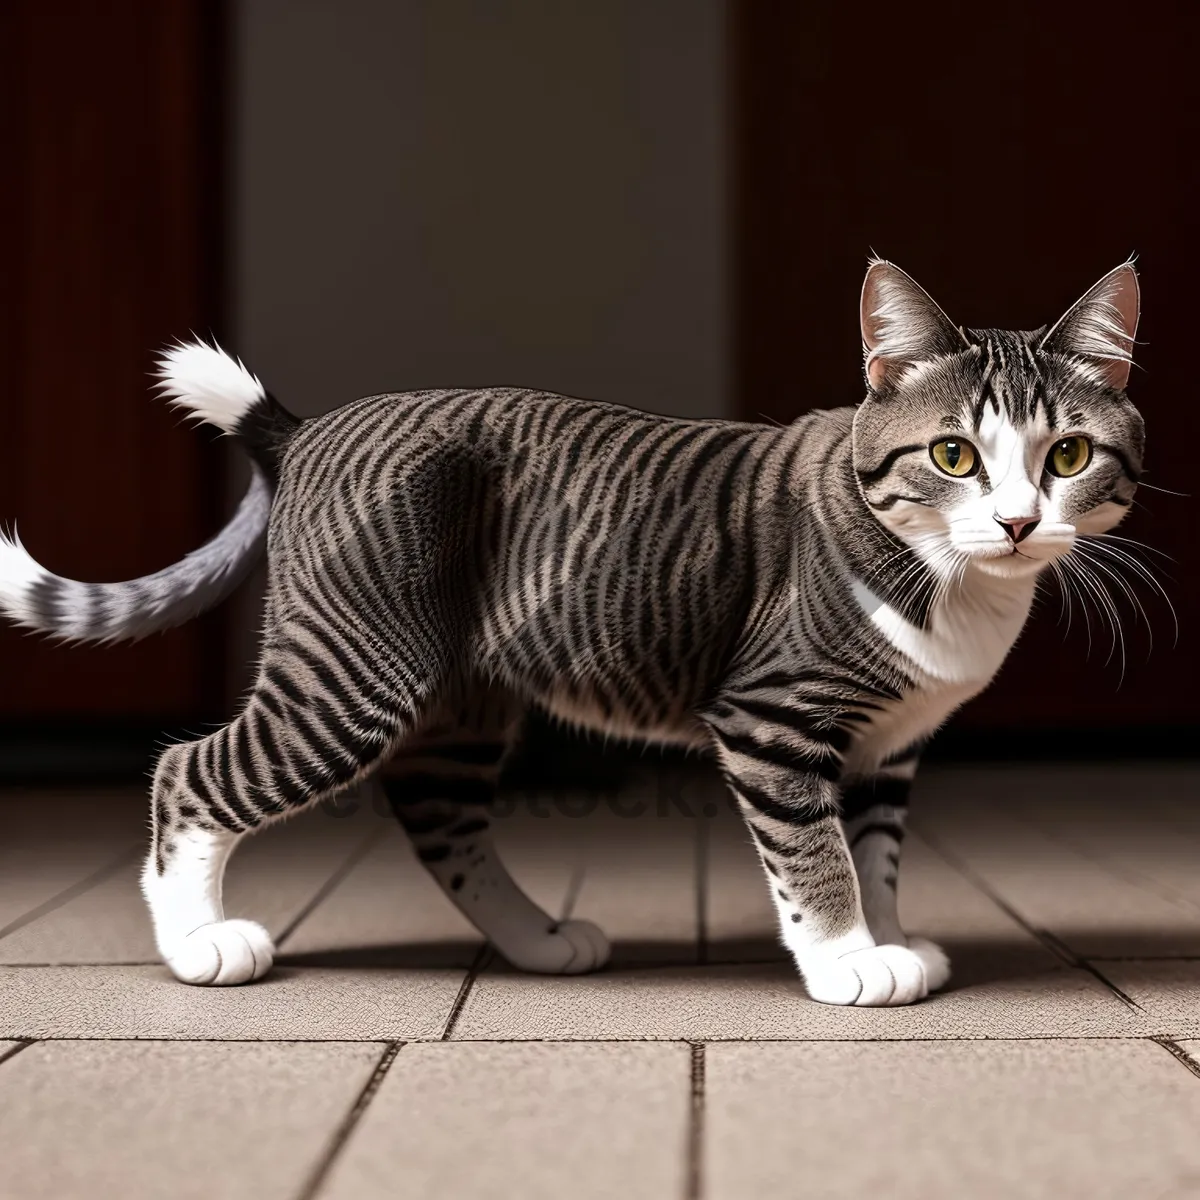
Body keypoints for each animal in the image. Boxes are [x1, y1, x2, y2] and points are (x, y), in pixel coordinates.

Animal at [0, 260, 1142, 1003]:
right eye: (953, 455)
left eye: (1069, 455)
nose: (1018, 522)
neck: (955, 587)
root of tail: (308, 426)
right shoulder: (774, 716)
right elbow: (814, 851)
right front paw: (847, 959)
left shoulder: (886, 746)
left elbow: (880, 853)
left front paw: (894, 936)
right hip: (352, 675)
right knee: (189, 772)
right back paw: (199, 942)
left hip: (456, 708)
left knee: (439, 817)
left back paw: (541, 941)